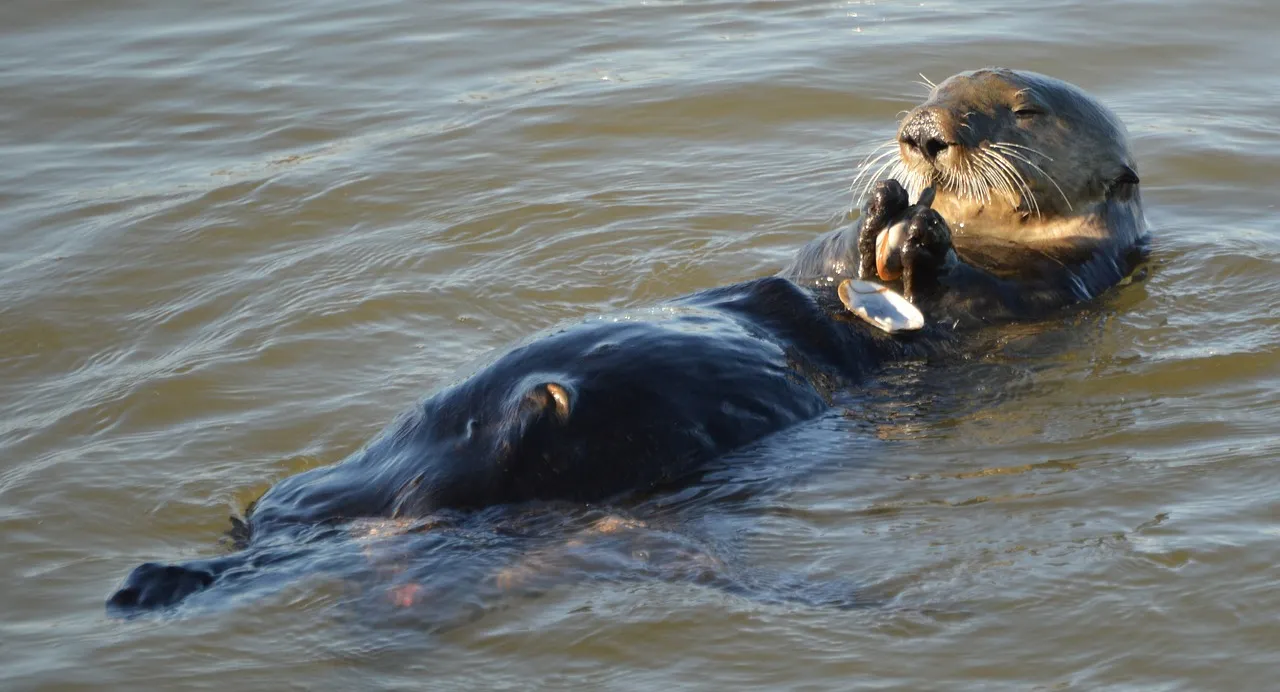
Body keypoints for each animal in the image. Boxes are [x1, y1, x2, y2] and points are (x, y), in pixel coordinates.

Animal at [112, 68, 1152, 608]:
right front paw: (881, 215)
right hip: (338, 482)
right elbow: (823, 255)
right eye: (934, 90)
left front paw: (916, 244)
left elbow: (976, 294)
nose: (921, 133)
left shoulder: (1060, 286)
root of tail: (394, 513)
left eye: (1022, 110)